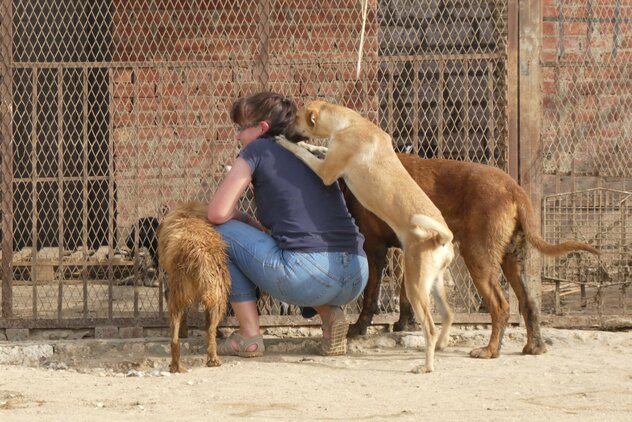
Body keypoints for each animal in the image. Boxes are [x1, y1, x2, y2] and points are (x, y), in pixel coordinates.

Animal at [157, 201, 231, 372]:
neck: (189, 214)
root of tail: (199, 254)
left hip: (180, 297)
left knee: (176, 338)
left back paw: (179, 364)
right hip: (216, 296)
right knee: (209, 330)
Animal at [280, 99, 454, 372]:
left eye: (296, 118)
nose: (286, 132)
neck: (350, 123)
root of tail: (441, 236)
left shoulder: (326, 172)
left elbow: (304, 154)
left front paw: (287, 144)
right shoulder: (329, 157)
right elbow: (317, 148)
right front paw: (306, 144)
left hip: (415, 285)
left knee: (430, 328)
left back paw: (426, 365)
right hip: (434, 282)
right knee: (448, 315)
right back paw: (444, 344)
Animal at [344, 155, 600, 360]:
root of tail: (514, 190)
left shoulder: (373, 246)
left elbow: (370, 294)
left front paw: (358, 328)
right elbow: (406, 293)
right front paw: (404, 324)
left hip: (478, 257)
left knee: (501, 306)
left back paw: (490, 351)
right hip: (512, 260)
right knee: (529, 303)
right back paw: (534, 347)